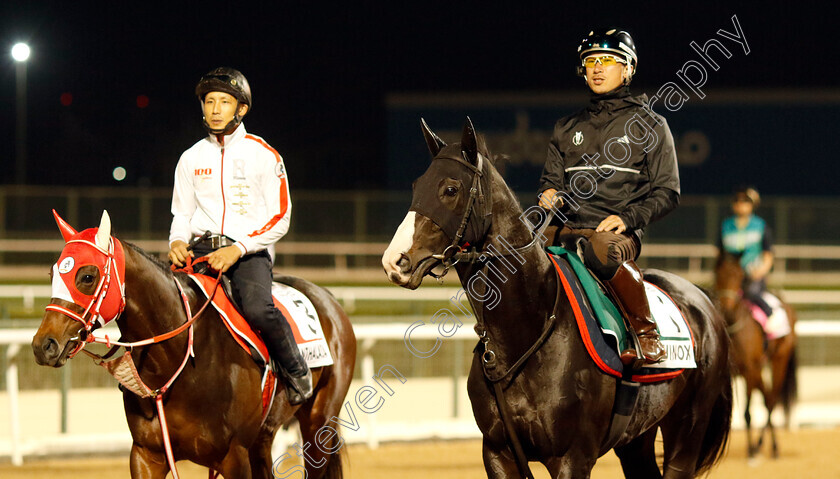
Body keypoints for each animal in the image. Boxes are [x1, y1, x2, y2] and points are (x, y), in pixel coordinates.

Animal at [31, 213, 354, 479]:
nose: (43, 345)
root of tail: (328, 299)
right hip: (263, 438)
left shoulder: (234, 456)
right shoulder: (147, 455)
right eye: (53, 273)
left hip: (318, 424)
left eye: (87, 276)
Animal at [384, 117, 732, 479]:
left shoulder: (572, 458)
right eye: (417, 185)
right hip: (637, 439)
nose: (395, 260)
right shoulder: (497, 453)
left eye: (450, 189)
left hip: (687, 430)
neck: (528, 333)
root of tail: (704, 301)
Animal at [712, 253, 796, 460]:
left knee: (772, 399)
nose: (727, 306)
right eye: (718, 273)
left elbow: (747, 412)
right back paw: (766, 445)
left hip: (779, 361)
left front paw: (750, 450)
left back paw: (766, 446)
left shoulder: (749, 370)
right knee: (766, 396)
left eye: (739, 275)